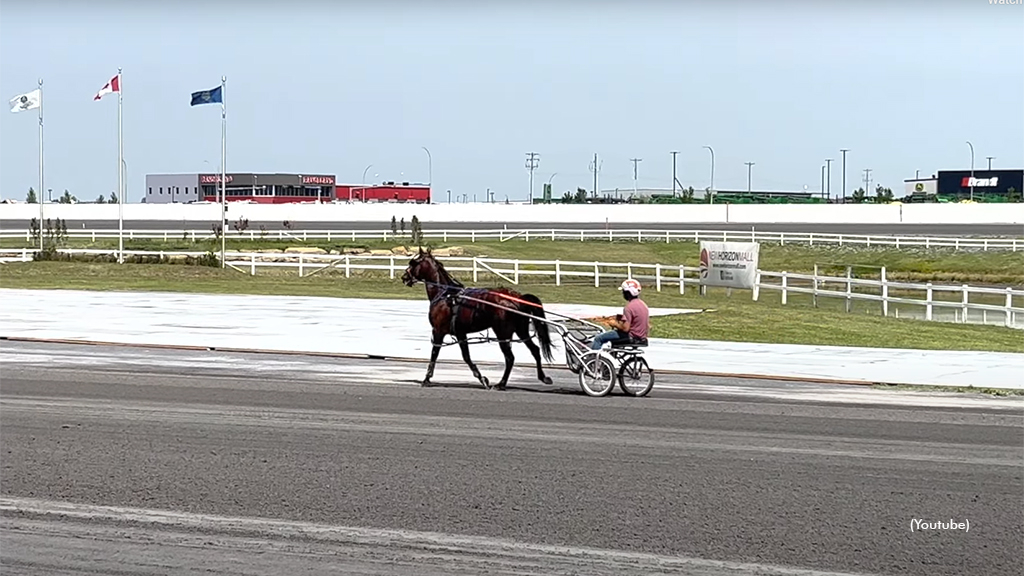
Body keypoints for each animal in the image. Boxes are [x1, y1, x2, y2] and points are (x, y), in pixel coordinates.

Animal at [399, 247, 557, 389]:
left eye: (413, 262)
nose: (404, 277)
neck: (445, 295)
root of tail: (517, 297)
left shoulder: (438, 331)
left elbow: (434, 354)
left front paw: (426, 379)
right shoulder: (460, 333)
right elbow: (466, 356)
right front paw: (482, 378)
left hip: (502, 333)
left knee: (510, 358)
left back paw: (501, 384)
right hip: (521, 330)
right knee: (535, 350)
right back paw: (543, 377)